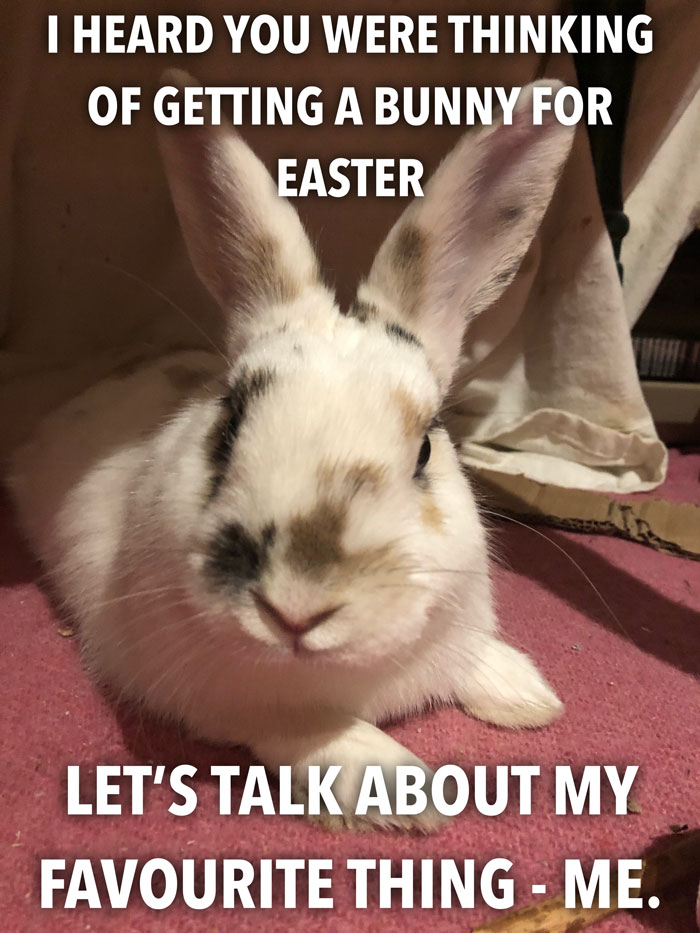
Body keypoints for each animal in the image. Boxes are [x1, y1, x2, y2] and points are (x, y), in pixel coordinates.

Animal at [7, 72, 574, 831]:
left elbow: (471, 657)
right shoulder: (236, 704)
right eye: (230, 423)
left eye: (426, 448)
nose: (297, 608)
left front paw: (527, 695)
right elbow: (315, 735)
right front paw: (405, 790)